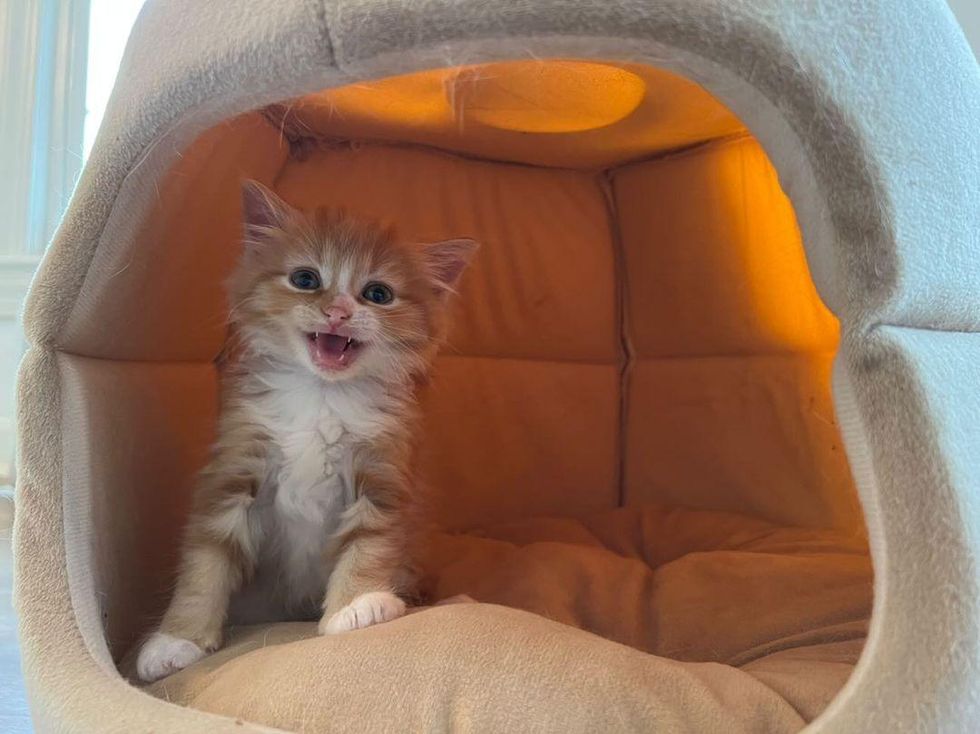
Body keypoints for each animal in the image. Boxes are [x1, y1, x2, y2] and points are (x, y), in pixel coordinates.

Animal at [135, 183, 478, 684]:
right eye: (305, 279)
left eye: (378, 293)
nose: (336, 312)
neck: (322, 397)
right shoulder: (234, 467)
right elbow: (205, 561)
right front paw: (178, 638)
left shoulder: (384, 474)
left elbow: (369, 543)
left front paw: (356, 605)